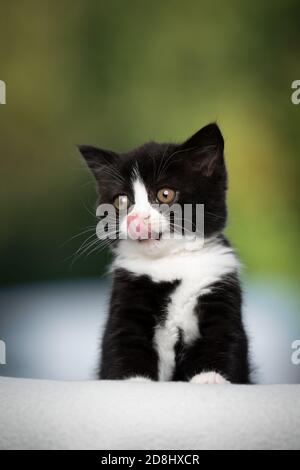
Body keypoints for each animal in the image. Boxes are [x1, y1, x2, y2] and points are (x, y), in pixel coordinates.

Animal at [79, 123, 251, 384]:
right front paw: (135, 381)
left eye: (165, 194)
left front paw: (210, 378)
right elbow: (122, 341)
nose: (136, 219)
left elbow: (223, 336)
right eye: (122, 201)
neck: (171, 261)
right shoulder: (127, 296)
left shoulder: (220, 287)